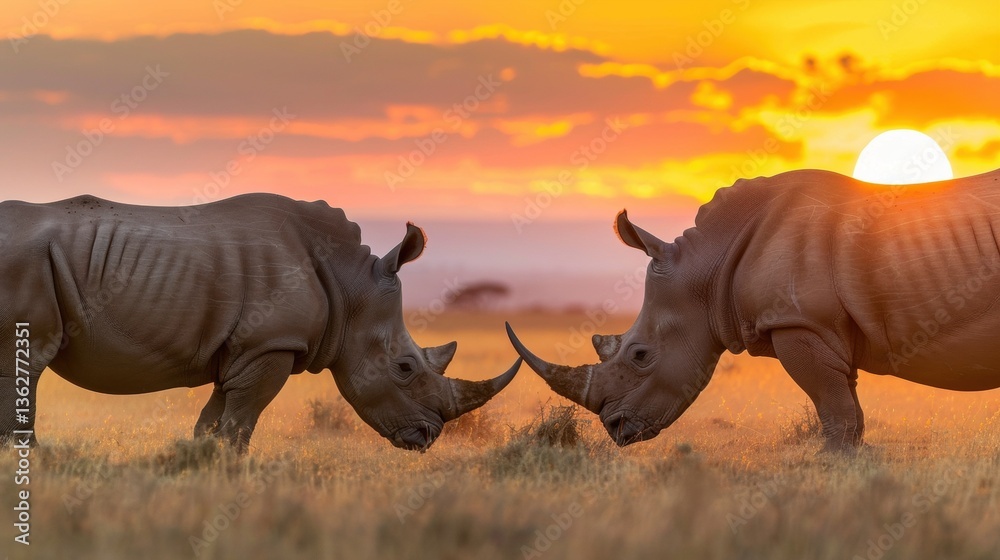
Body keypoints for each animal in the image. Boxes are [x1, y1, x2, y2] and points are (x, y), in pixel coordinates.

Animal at [0, 193, 520, 453]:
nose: (428, 438)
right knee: (23, 366)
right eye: (406, 368)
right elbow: (239, 425)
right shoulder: (271, 344)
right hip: (24, 263)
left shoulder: (242, 349)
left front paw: (201, 467)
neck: (351, 287)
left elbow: (213, 422)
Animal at [508, 168, 1000, 452]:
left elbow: (834, 410)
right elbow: (848, 408)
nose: (614, 427)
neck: (708, 269)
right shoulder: (825, 328)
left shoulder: (800, 323)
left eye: (640, 355)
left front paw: (832, 466)